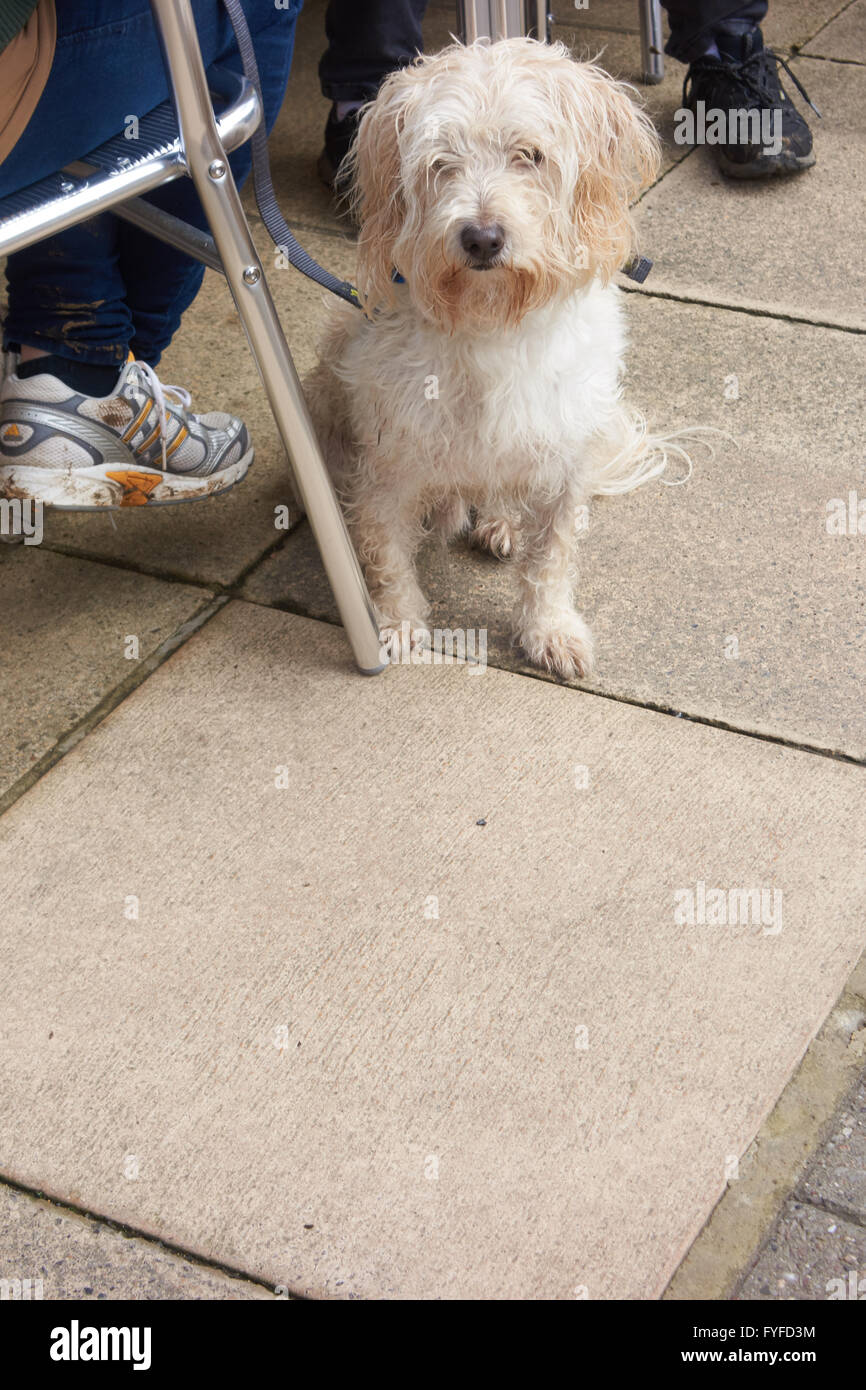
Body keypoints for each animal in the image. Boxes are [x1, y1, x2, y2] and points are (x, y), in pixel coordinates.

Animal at [308, 38, 686, 678]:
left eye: (529, 155)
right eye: (440, 163)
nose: (482, 237)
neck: (490, 322)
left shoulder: (564, 458)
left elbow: (551, 559)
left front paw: (548, 629)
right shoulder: (385, 466)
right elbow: (385, 553)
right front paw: (398, 623)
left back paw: (501, 520)